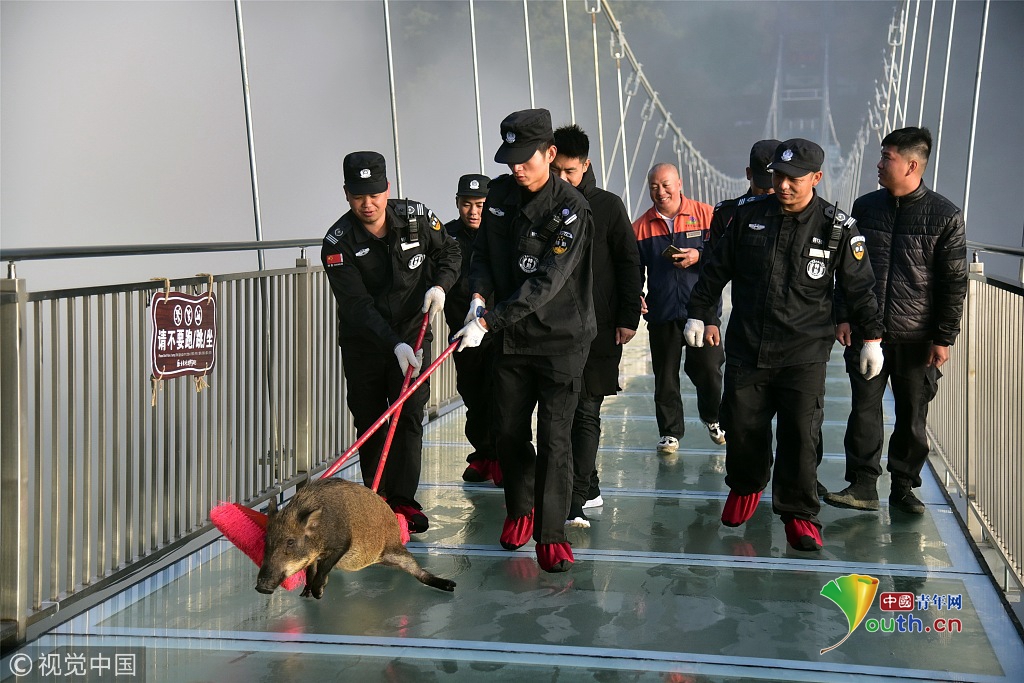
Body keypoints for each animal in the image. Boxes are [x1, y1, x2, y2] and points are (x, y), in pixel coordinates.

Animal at [254, 478, 456, 597]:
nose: (261, 587)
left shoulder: (342, 543)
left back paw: (451, 585)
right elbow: (311, 570)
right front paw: (306, 594)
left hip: (395, 550)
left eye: (290, 542)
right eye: (266, 540)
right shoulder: (313, 556)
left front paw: (318, 593)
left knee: (418, 571)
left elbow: (323, 567)